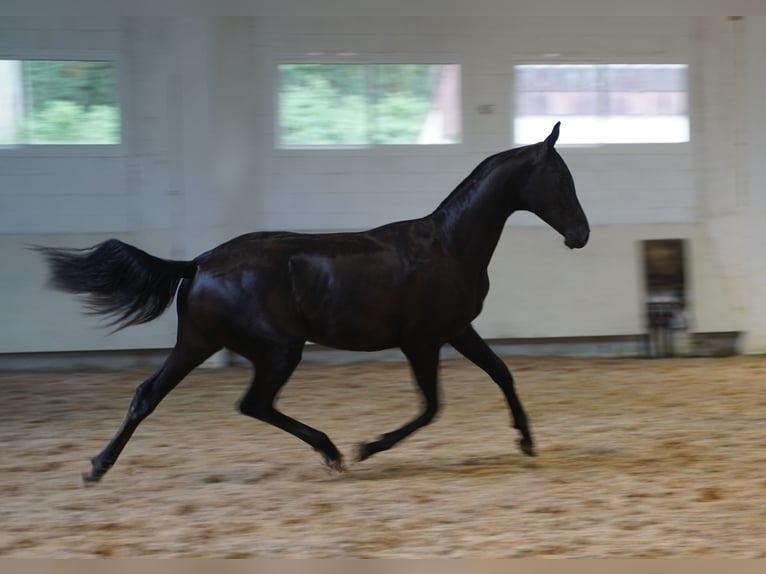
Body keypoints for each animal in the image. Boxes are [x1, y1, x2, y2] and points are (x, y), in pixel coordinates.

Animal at [36, 124, 588, 484]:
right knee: (252, 403)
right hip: (279, 349)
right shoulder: (422, 341)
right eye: (562, 180)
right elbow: (431, 407)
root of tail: (197, 264)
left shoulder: (456, 330)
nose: (581, 234)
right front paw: (368, 448)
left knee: (148, 394)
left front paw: (527, 441)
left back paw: (97, 466)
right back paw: (332, 451)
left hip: (197, 342)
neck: (448, 246)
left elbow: (502, 374)